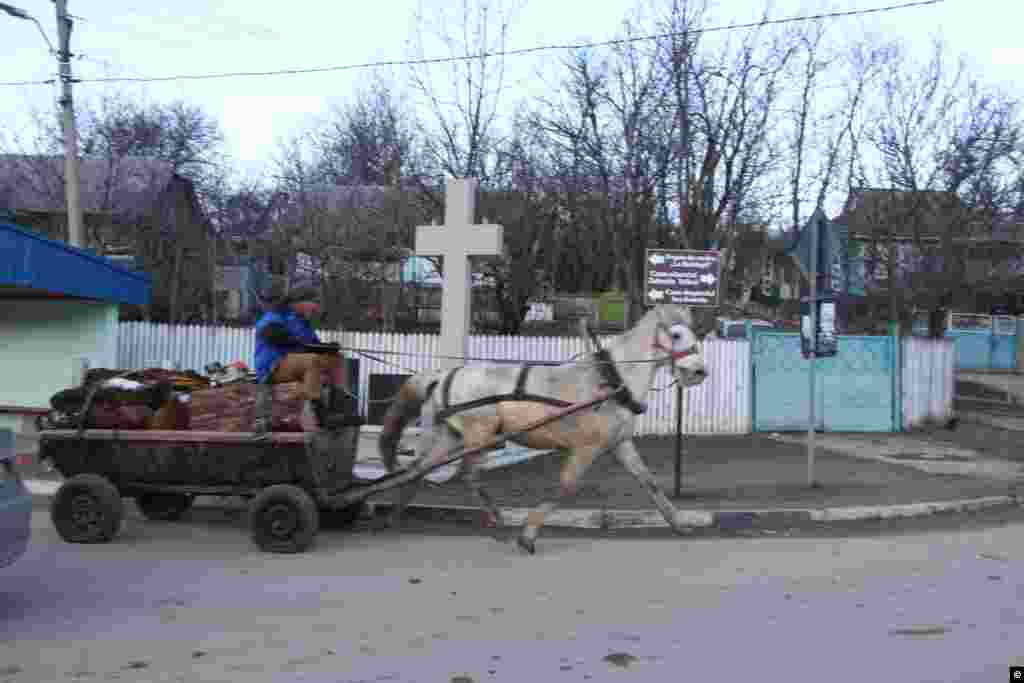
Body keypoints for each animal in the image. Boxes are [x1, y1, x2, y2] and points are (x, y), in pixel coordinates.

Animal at [380, 305, 708, 557]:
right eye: (676, 334)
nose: (699, 371)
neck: (610, 382)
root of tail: (445, 375)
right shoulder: (585, 448)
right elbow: (565, 487)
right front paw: (528, 535)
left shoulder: (620, 443)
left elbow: (648, 481)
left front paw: (679, 524)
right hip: (480, 435)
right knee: (467, 475)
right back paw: (498, 522)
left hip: (452, 436)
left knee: (418, 469)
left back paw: (395, 517)